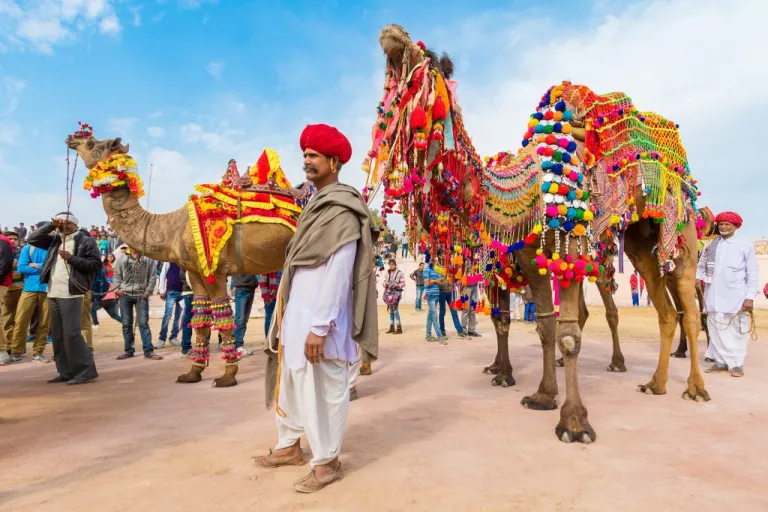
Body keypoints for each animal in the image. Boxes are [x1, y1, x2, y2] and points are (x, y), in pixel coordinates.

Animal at [67, 125, 304, 388]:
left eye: (93, 144)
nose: (72, 138)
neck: (171, 227)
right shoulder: (195, 272)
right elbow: (200, 320)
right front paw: (193, 373)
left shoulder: (216, 271)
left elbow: (224, 319)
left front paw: (227, 376)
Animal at [366, 24, 708, 442]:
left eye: (423, 62)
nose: (391, 34)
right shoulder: (528, 262)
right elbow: (541, 325)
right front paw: (540, 394)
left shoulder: (568, 247)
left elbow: (567, 333)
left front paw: (574, 423)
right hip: (642, 244)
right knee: (665, 311)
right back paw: (655, 383)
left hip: (673, 231)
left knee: (681, 309)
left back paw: (688, 386)